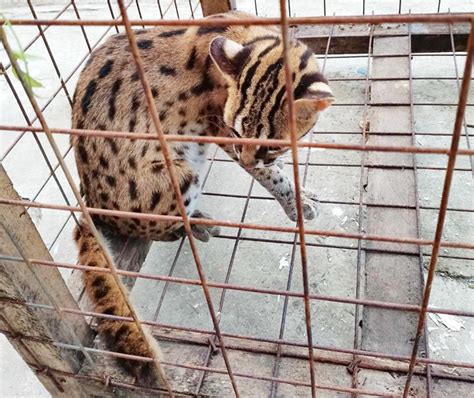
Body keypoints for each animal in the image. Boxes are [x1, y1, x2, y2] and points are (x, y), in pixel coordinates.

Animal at [72, 10, 336, 388]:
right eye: (237, 131)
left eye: (270, 146)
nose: (246, 158)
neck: (254, 36)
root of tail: (90, 201)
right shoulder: (217, 127)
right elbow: (271, 177)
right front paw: (295, 200)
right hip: (181, 171)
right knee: (159, 228)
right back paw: (196, 223)